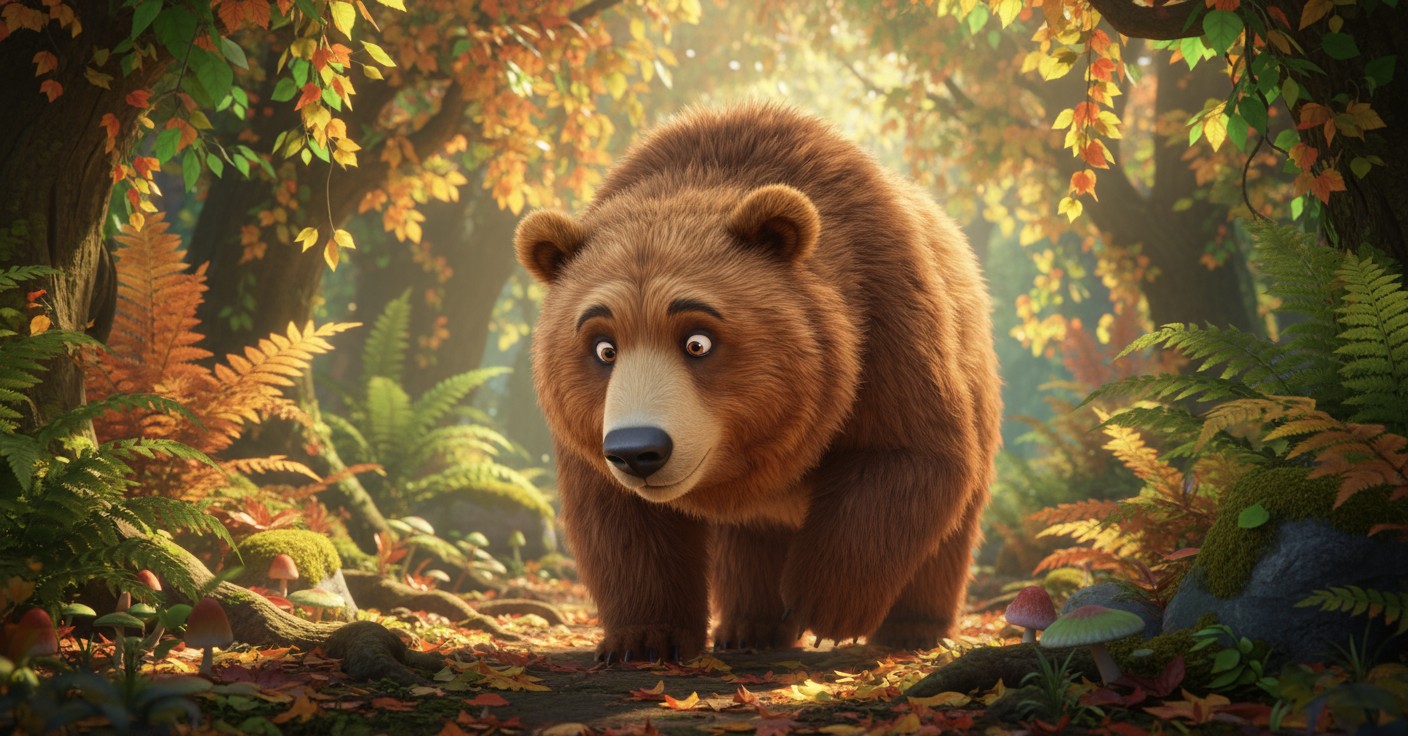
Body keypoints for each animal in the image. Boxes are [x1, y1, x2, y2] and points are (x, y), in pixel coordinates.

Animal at [514, 103, 1001, 663]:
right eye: (603, 347)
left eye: (697, 342)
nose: (639, 450)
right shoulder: (595, 436)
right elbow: (623, 519)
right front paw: (645, 637)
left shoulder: (885, 315)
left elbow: (905, 454)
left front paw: (824, 608)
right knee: (750, 538)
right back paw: (750, 627)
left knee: (950, 531)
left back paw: (911, 628)